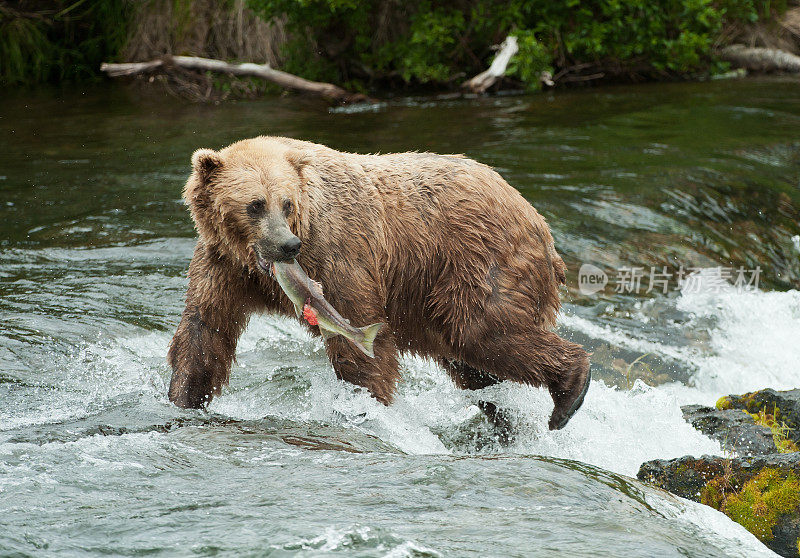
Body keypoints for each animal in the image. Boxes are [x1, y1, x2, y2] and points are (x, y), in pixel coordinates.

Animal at [169, 137, 592, 434]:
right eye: (255, 204)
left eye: (286, 203)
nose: (288, 245)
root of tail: (538, 221)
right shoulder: (222, 266)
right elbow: (205, 329)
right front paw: (183, 396)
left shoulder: (338, 254)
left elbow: (360, 338)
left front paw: (366, 405)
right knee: (474, 366)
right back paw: (506, 421)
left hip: (476, 261)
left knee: (484, 331)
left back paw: (569, 392)